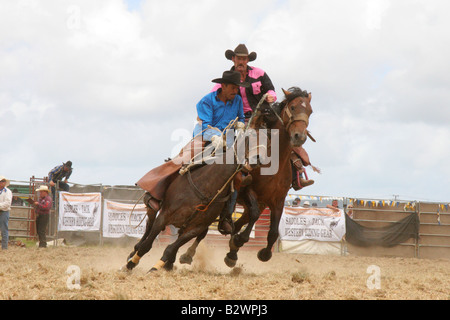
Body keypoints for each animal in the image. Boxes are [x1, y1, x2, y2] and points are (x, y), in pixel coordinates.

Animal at [179, 87, 312, 268]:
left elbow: (273, 231)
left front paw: (263, 253)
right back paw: (190, 254)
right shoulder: (247, 191)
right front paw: (238, 241)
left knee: (238, 222)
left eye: (310, 111)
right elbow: (253, 216)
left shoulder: (278, 200)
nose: (300, 136)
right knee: (207, 229)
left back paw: (231, 251)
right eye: (292, 107)